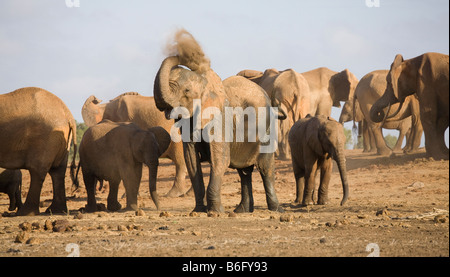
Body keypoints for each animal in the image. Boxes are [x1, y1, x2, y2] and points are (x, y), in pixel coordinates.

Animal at [0, 87, 77, 215]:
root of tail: (68, 115)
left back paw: (24, 213)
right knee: (57, 171)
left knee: (37, 170)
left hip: (45, 138)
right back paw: (56, 210)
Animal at [154, 28, 284, 213]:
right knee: (244, 172)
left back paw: (276, 210)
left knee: (265, 167)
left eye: (186, 91)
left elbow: (220, 160)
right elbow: (191, 161)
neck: (206, 83)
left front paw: (215, 212)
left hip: (267, 129)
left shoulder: (220, 121)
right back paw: (242, 210)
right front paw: (198, 211)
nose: (183, 45)